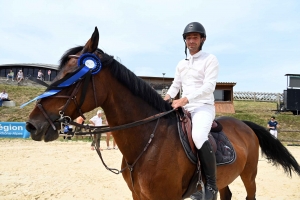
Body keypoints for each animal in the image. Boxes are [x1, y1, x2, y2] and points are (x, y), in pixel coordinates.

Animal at [25, 27, 300, 199]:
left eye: (72, 76)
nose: (33, 125)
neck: (148, 142)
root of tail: (243, 124)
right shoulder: (138, 196)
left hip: (249, 175)